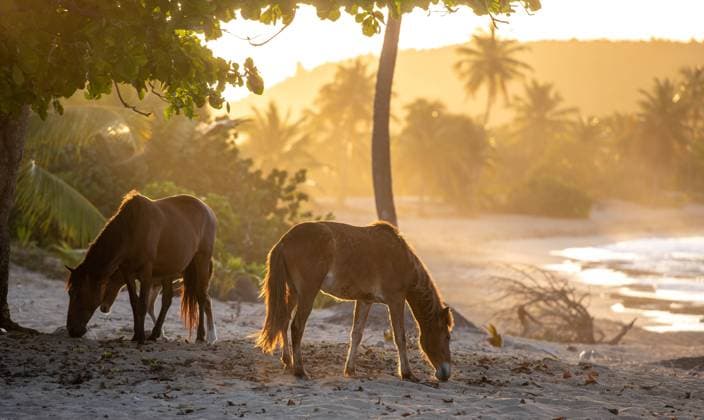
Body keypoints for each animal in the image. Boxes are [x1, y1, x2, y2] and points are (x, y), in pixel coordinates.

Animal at [66, 191, 217, 344]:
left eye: (77, 293)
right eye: (70, 293)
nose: (72, 330)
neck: (132, 229)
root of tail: (209, 210)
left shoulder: (146, 273)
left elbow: (143, 304)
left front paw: (141, 338)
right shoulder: (128, 273)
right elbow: (135, 303)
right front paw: (136, 335)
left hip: (202, 261)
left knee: (201, 297)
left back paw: (202, 336)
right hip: (169, 270)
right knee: (167, 300)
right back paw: (155, 334)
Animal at [256, 221, 453, 382]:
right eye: (447, 336)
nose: (446, 373)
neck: (401, 258)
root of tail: (284, 240)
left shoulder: (365, 301)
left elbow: (356, 334)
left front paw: (350, 369)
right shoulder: (396, 300)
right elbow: (400, 337)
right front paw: (407, 373)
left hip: (294, 292)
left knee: (283, 319)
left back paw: (288, 361)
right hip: (307, 293)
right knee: (296, 327)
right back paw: (300, 370)